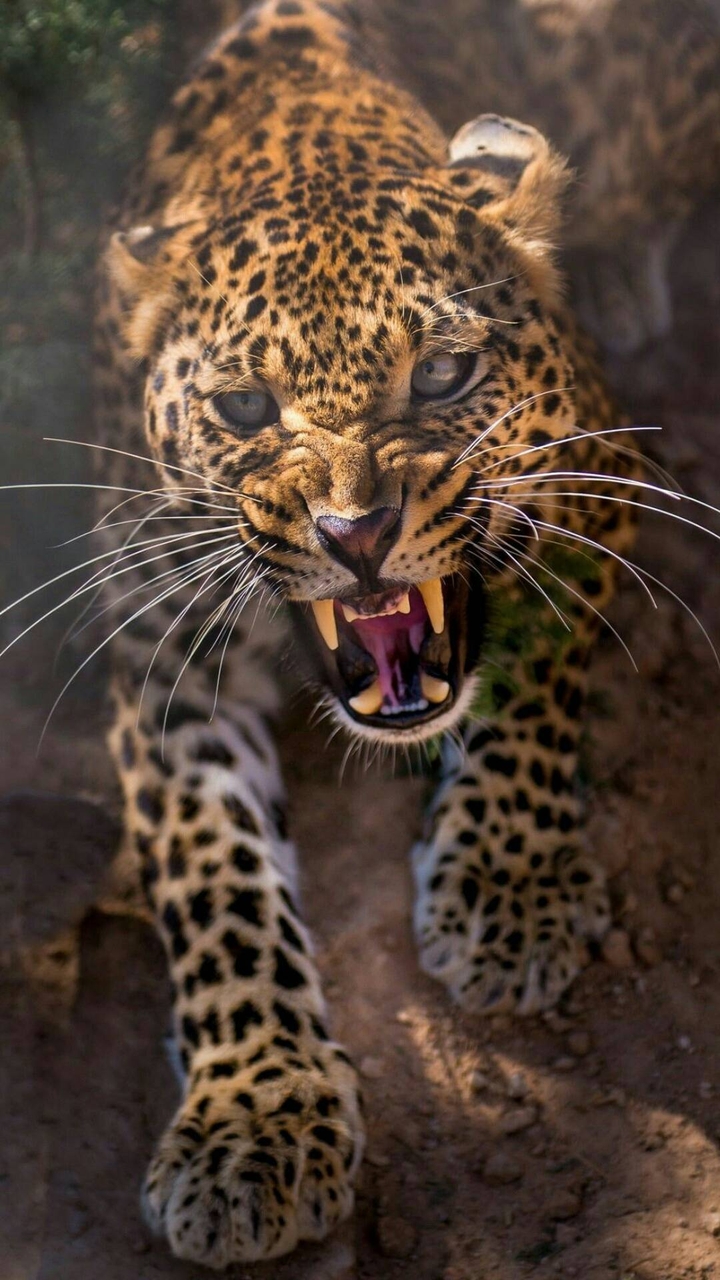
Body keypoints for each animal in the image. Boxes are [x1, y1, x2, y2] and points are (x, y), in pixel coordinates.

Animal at [86, 0, 720, 1267]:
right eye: (243, 406)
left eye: (442, 373)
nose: (358, 530)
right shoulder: (155, 638)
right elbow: (209, 867)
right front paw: (253, 1115)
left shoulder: (596, 486)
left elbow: (532, 684)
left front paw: (507, 889)